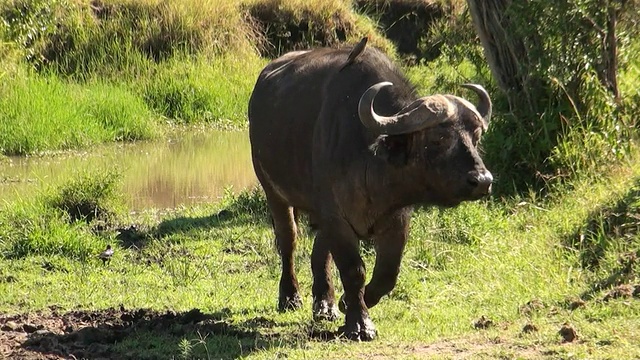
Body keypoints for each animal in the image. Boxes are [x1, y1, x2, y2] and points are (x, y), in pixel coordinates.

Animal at [248, 43, 492, 340]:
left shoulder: (396, 219)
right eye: (439, 139)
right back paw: (290, 296)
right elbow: (353, 269)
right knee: (288, 241)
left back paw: (325, 303)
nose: (482, 180)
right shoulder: (337, 218)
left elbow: (388, 273)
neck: (371, 160)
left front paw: (346, 302)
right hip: (273, 192)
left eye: (476, 137)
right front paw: (359, 323)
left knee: (320, 250)